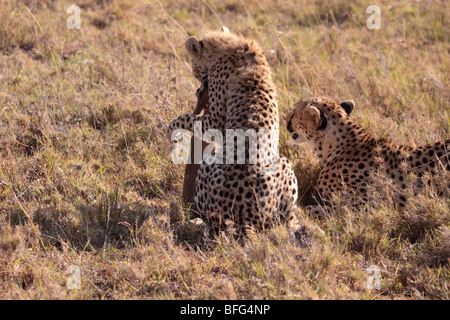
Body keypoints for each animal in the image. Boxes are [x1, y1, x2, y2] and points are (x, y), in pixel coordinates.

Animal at [168, 31, 302, 236]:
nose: (198, 79)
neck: (239, 49)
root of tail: (247, 219)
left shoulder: (215, 122)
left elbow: (186, 118)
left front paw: (172, 129)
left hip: (211, 167)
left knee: (213, 224)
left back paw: (198, 222)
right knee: (287, 221)